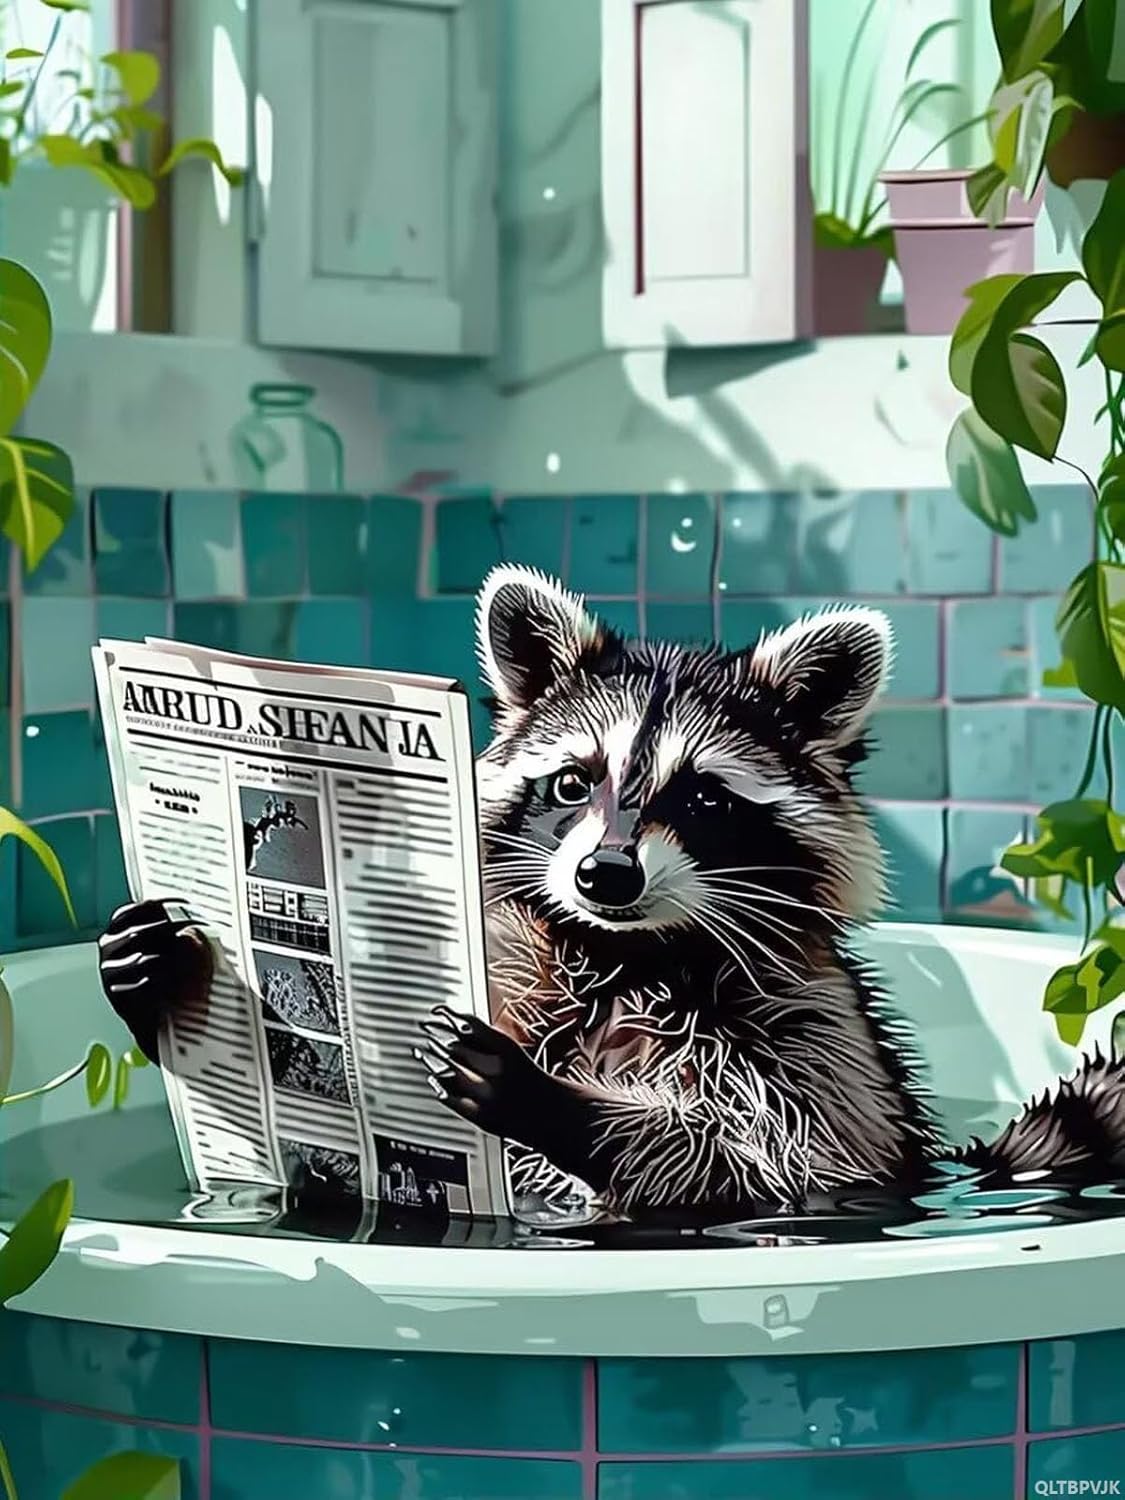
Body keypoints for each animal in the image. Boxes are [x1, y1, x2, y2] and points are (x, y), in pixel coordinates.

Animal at [98, 567, 1125, 1220]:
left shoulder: (816, 1031)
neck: (623, 947)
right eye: (570, 782)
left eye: (702, 796)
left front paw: (561, 1106)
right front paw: (152, 978)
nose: (604, 875)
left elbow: (769, 1158)